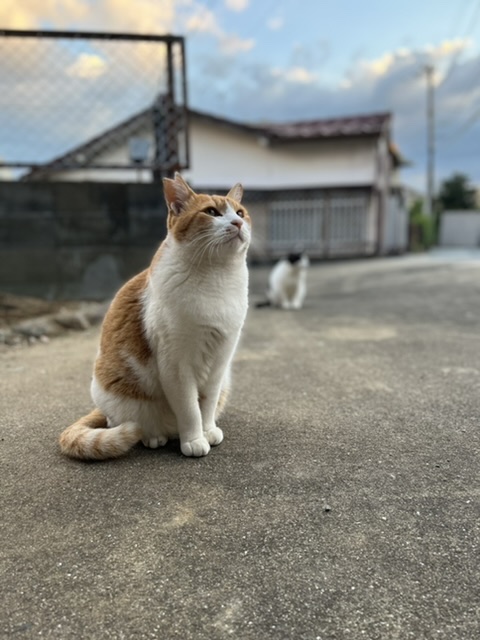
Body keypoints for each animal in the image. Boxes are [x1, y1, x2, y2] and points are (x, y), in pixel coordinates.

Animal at [60, 171, 251, 460]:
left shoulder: (220, 360)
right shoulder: (176, 366)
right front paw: (194, 439)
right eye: (211, 212)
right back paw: (154, 436)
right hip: (113, 394)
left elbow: (206, 405)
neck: (217, 277)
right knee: (126, 423)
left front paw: (207, 430)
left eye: (240, 212)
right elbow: (190, 409)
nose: (238, 222)